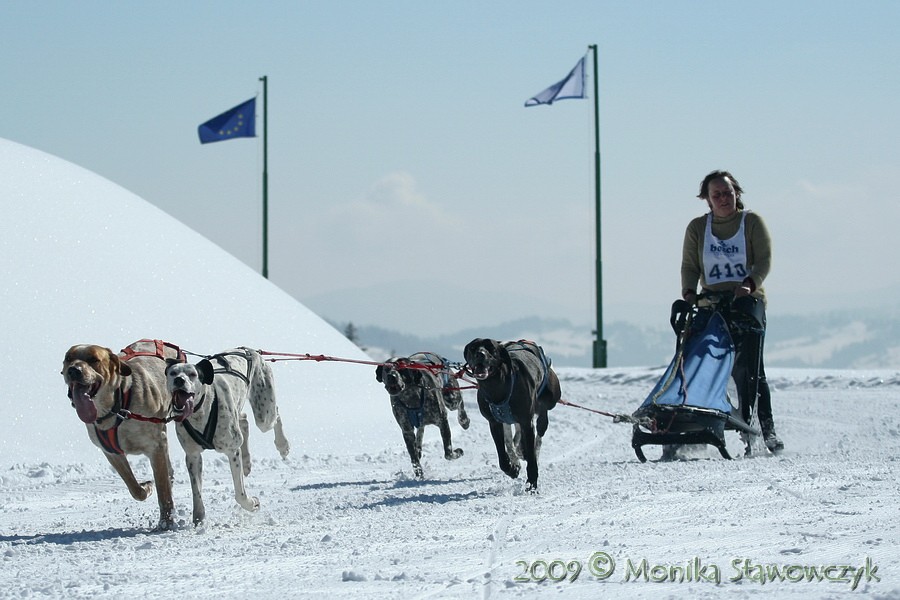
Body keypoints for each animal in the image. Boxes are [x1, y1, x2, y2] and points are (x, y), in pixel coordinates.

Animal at [61, 342, 181, 528]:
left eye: (94, 359)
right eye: (68, 358)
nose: (73, 370)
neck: (116, 409)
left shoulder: (156, 446)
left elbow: (163, 489)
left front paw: (166, 522)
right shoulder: (112, 452)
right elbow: (133, 487)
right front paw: (146, 487)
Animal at [163, 346, 288, 524]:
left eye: (192, 374)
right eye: (173, 373)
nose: (179, 380)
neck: (200, 412)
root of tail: (248, 350)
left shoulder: (231, 451)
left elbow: (240, 494)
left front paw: (252, 503)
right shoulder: (193, 455)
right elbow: (197, 492)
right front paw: (199, 518)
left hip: (264, 414)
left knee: (275, 415)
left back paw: (282, 445)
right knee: (243, 421)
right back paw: (247, 462)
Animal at [468, 340, 560, 490]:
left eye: (491, 347)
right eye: (472, 347)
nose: (480, 354)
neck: (497, 388)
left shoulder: (527, 421)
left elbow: (531, 456)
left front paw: (532, 483)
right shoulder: (494, 423)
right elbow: (503, 453)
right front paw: (512, 468)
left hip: (546, 404)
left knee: (539, 432)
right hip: (508, 419)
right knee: (512, 438)